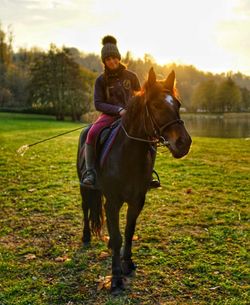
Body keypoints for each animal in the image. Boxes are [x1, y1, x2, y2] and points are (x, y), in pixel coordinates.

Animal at [76, 67, 191, 294]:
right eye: (156, 105)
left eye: (178, 104)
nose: (184, 143)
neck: (128, 154)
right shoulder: (113, 201)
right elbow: (118, 235)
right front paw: (116, 278)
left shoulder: (137, 200)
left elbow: (128, 232)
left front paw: (127, 263)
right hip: (85, 188)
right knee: (86, 208)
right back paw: (86, 236)